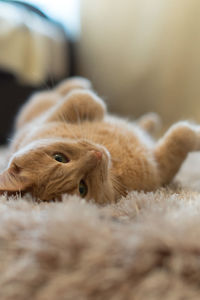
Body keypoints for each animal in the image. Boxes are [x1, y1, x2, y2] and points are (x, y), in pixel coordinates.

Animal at [0, 77, 200, 204]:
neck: (115, 165)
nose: (96, 154)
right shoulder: (161, 170)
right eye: (82, 188)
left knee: (61, 91)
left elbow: (83, 99)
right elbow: (182, 135)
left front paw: (94, 103)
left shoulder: (49, 118)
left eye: (59, 157)